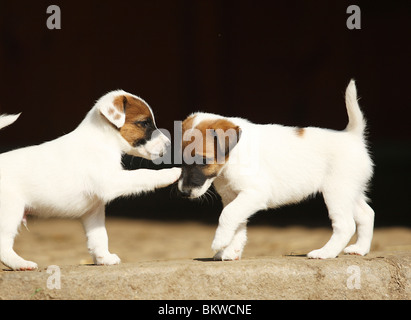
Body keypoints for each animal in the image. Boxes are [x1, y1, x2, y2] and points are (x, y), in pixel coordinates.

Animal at [0, 90, 182, 270]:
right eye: (144, 123)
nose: (169, 144)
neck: (102, 140)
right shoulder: (111, 181)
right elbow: (143, 174)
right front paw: (172, 173)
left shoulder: (94, 211)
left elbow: (99, 237)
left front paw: (104, 258)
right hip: (10, 213)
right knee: (3, 245)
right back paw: (21, 264)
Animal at [179, 80, 374, 260]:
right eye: (181, 160)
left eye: (203, 161)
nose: (184, 193)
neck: (233, 156)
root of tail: (352, 136)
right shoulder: (234, 197)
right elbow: (237, 226)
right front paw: (231, 251)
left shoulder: (254, 193)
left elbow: (227, 215)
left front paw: (219, 242)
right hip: (351, 193)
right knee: (367, 214)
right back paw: (360, 249)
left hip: (336, 192)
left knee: (346, 225)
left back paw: (325, 253)